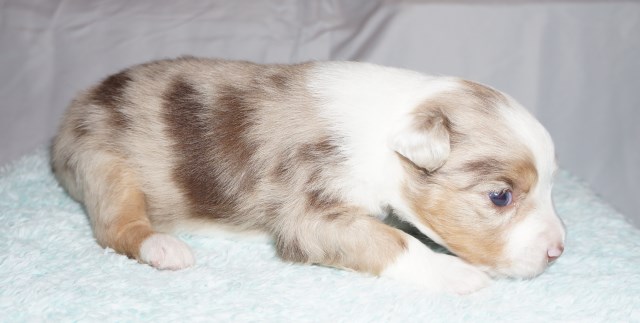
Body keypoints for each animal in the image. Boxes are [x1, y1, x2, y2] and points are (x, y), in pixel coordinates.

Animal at [53, 57, 564, 294]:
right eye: (500, 197)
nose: (558, 252)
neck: (386, 127)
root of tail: (66, 122)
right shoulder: (311, 208)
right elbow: (392, 240)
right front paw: (456, 273)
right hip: (105, 165)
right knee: (116, 226)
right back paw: (165, 248)